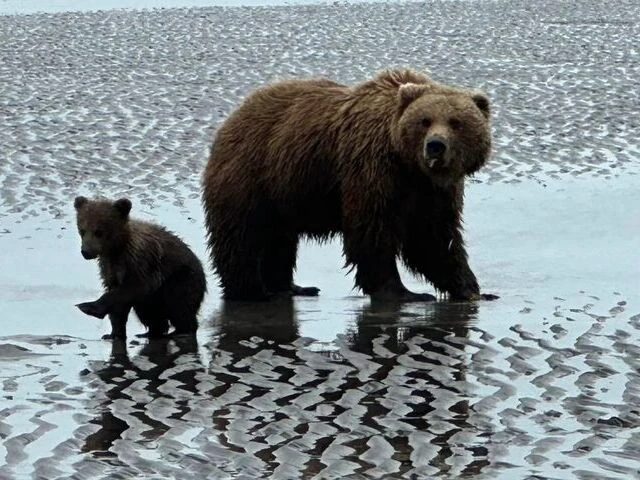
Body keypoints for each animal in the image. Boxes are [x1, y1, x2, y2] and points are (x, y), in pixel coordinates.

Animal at [73, 196, 207, 339]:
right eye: (82, 230)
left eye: (99, 231)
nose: (86, 252)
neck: (116, 250)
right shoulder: (109, 268)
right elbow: (118, 301)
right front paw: (114, 333)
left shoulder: (141, 262)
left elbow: (133, 287)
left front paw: (87, 307)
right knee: (149, 311)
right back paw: (149, 333)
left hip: (181, 279)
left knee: (179, 306)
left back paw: (180, 331)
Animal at [201, 68, 497, 302]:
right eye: (424, 121)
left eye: (456, 123)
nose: (435, 146)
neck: (408, 166)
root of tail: (232, 118)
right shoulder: (371, 169)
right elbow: (372, 230)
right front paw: (404, 292)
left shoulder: (434, 192)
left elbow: (434, 238)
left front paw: (473, 290)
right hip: (251, 175)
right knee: (243, 236)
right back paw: (253, 291)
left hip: (281, 192)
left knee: (279, 240)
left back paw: (292, 287)